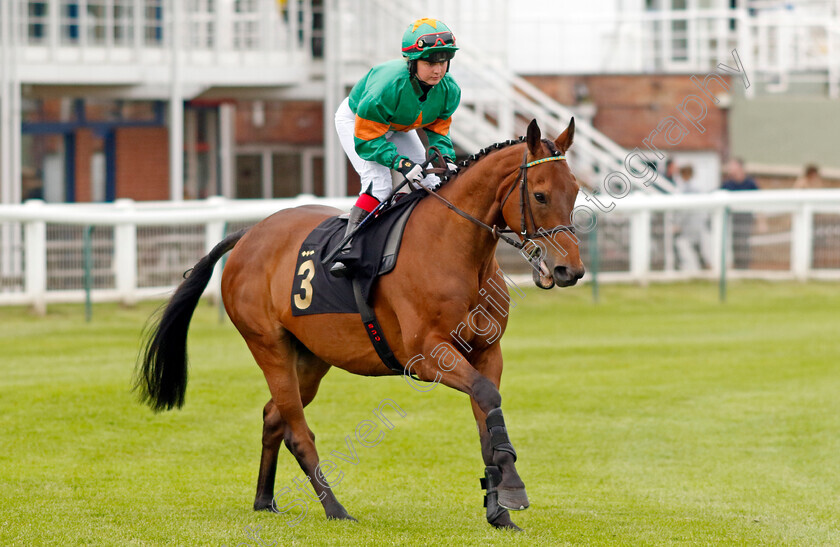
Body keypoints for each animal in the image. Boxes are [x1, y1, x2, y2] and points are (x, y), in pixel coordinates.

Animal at [136, 116, 584, 532]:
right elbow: (488, 398)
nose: (570, 270)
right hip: (269, 347)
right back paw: (335, 509)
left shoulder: (487, 352)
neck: (456, 250)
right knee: (297, 431)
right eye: (540, 194)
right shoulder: (428, 356)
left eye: (576, 191)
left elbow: (486, 418)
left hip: (311, 358)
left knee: (273, 416)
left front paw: (498, 509)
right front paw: (513, 488)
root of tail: (248, 234)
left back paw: (265, 500)